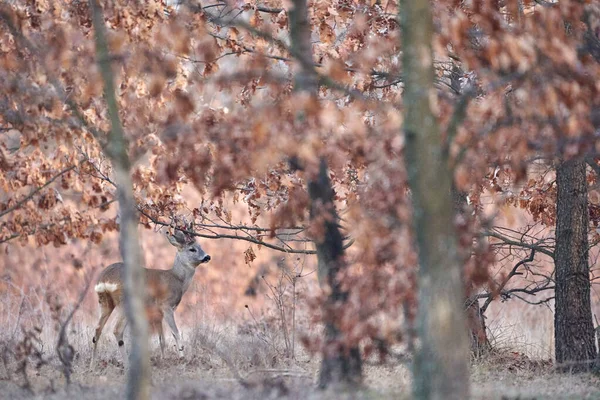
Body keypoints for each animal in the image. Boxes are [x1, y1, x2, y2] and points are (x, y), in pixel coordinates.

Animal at [88, 230, 211, 370]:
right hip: (125, 302)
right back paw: (127, 365)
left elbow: (162, 339)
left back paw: (92, 365)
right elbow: (175, 332)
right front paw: (182, 357)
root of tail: (105, 279)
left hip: (104, 302)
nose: (207, 257)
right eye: (192, 249)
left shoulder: (157, 314)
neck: (177, 279)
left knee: (97, 330)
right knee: (117, 330)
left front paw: (163, 359)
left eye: (201, 246)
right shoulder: (166, 306)